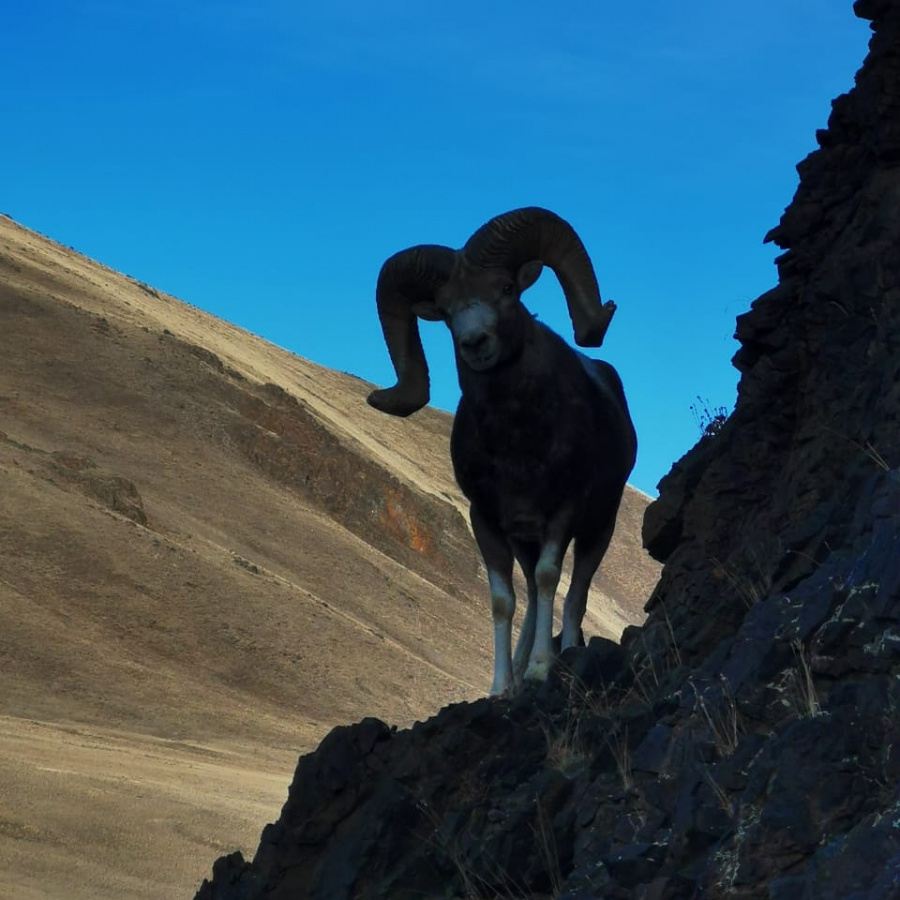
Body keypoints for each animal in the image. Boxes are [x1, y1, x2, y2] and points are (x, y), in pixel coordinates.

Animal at [364, 206, 632, 696]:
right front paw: (501, 686)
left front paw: (541, 670)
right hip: (523, 541)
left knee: (574, 594)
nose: (474, 343)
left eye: (506, 289)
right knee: (531, 594)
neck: (516, 448)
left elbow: (550, 580)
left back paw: (564, 655)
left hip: (597, 531)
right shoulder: (487, 521)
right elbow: (504, 601)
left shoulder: (561, 513)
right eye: (446, 311)